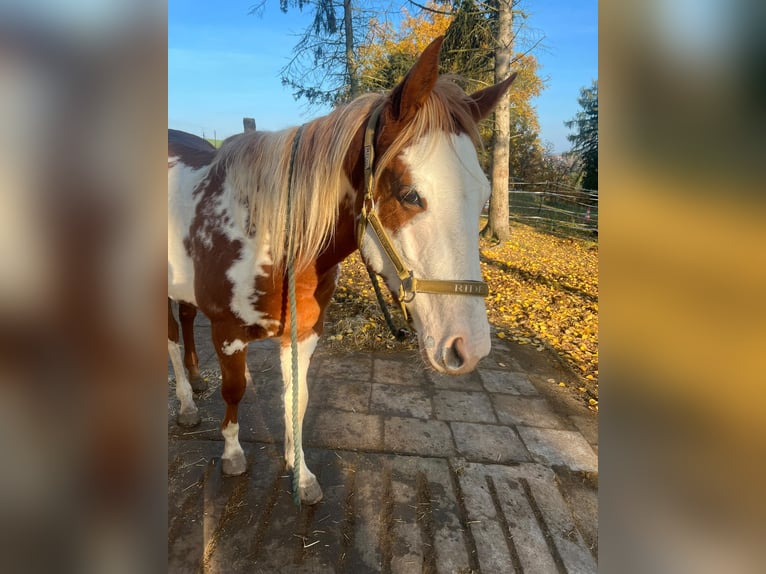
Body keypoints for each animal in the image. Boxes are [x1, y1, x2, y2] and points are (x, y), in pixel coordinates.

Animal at [167, 36, 517, 504]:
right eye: (410, 195)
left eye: (482, 196)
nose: (469, 347)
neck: (268, 236)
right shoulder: (227, 333)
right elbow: (236, 390)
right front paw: (233, 454)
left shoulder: (303, 332)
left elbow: (296, 400)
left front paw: (300, 472)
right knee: (171, 341)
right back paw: (187, 405)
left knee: (186, 323)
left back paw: (194, 382)